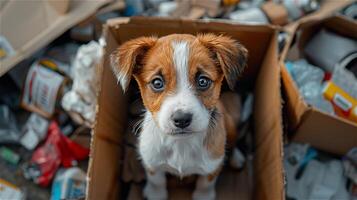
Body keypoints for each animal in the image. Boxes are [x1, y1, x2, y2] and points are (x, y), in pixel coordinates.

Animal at [110, 33, 246, 199]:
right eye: (157, 83)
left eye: (203, 81)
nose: (182, 119)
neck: (181, 144)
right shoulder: (152, 162)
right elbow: (156, 180)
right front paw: (156, 194)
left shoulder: (212, 166)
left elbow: (205, 184)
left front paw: (203, 196)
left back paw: (237, 158)